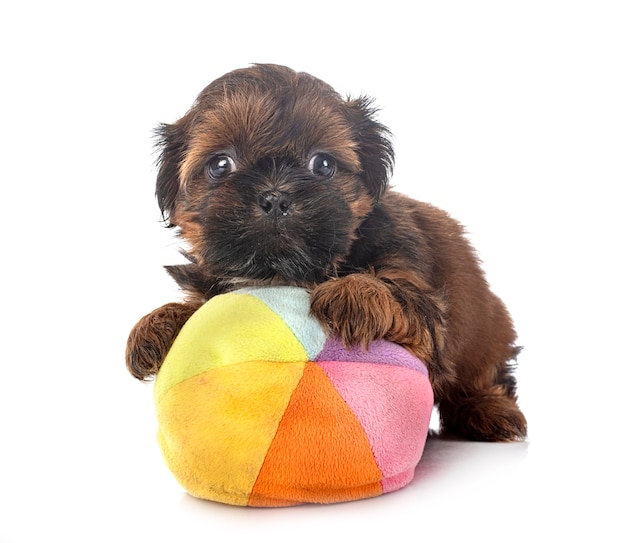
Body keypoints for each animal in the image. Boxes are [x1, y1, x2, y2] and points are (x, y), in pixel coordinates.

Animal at [127, 62, 528, 442]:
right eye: (221, 165)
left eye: (322, 164)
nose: (276, 197)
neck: (283, 272)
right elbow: (198, 306)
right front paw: (157, 323)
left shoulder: (421, 297)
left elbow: (399, 294)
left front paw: (355, 292)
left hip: (489, 334)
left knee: (485, 379)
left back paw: (490, 411)